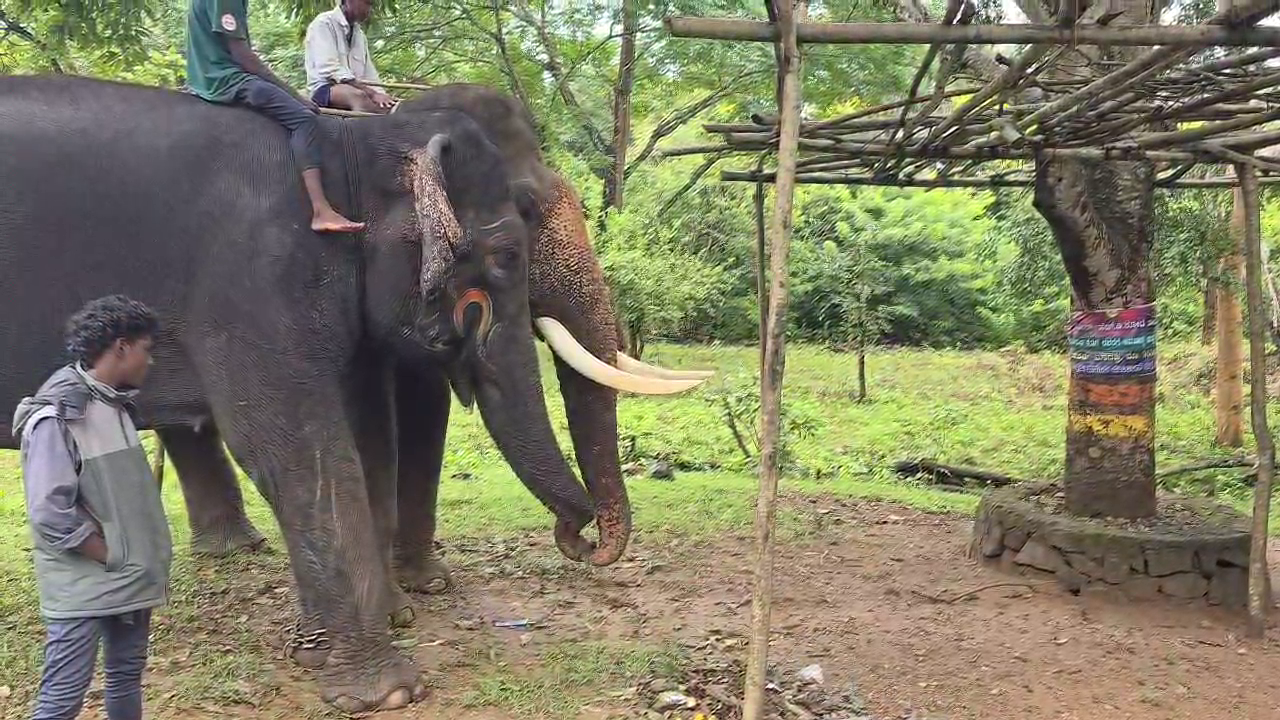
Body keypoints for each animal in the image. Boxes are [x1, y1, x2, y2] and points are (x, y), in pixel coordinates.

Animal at [0, 74, 711, 712]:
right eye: (512, 245)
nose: (581, 539)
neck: (352, 140)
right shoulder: (256, 275)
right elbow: (291, 443)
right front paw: (388, 689)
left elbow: (370, 423)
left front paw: (354, 633)